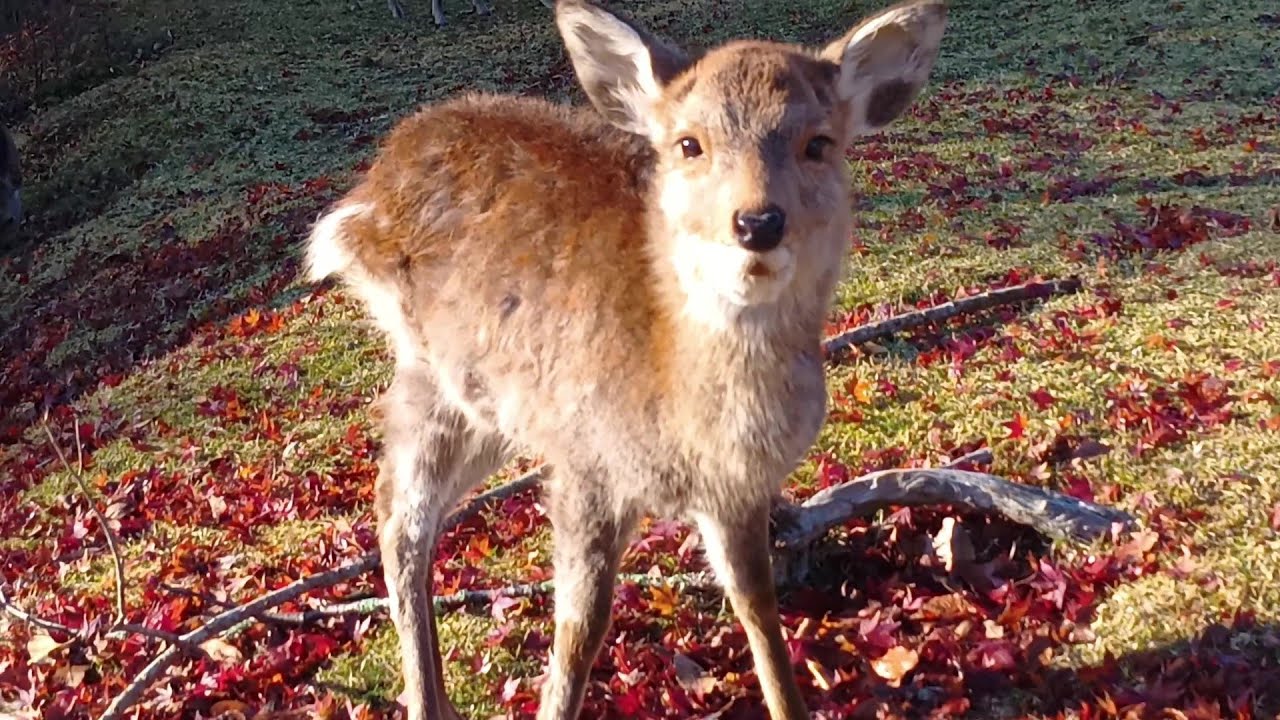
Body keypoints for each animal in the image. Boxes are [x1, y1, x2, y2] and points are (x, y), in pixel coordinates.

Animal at [304, 0, 947, 717]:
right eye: (689, 144)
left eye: (819, 143)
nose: (757, 223)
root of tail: (367, 193)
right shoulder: (585, 464)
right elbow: (580, 630)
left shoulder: (739, 491)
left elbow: (759, 610)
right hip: (434, 375)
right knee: (398, 516)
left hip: (492, 409)